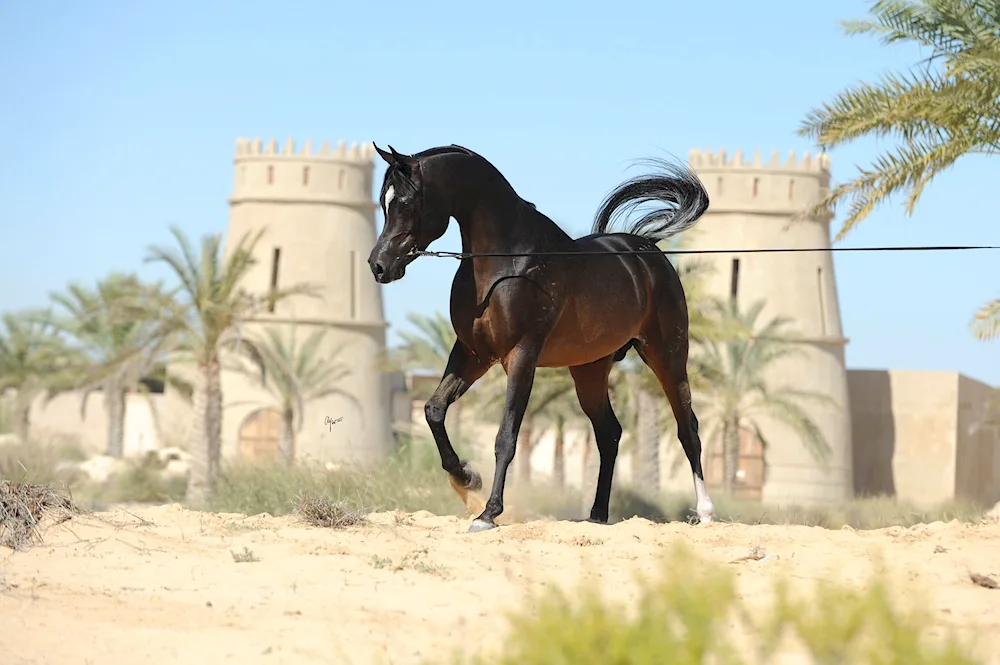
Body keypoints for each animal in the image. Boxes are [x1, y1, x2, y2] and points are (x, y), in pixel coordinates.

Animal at [372, 143, 716, 532]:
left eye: (406, 203)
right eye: (383, 202)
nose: (379, 266)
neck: (507, 263)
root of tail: (647, 252)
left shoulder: (521, 354)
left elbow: (506, 436)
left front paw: (487, 513)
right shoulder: (473, 353)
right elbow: (434, 410)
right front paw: (466, 479)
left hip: (667, 355)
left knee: (687, 427)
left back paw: (705, 512)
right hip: (589, 370)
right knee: (609, 433)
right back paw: (596, 516)